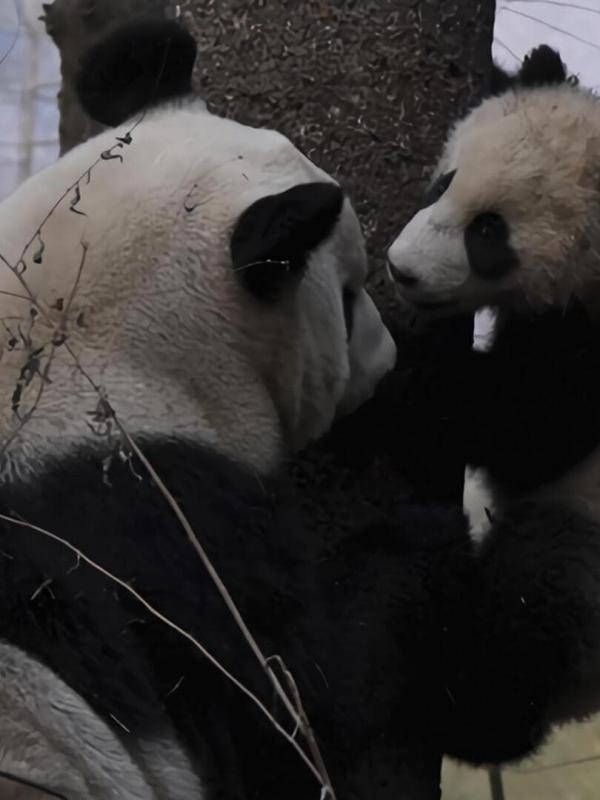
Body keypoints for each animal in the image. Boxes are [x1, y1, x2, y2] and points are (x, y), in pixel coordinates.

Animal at [387, 44, 600, 764]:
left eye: (489, 232)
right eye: (443, 181)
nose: (398, 269)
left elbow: (528, 430)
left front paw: (408, 365)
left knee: (539, 593)